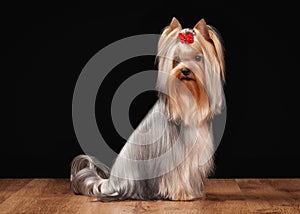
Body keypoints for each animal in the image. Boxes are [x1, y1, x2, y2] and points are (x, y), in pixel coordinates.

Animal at [70, 17, 225, 201]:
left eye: (198, 57)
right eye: (176, 59)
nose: (185, 70)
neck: (187, 101)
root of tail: (110, 183)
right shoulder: (173, 159)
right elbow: (176, 176)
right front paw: (182, 194)